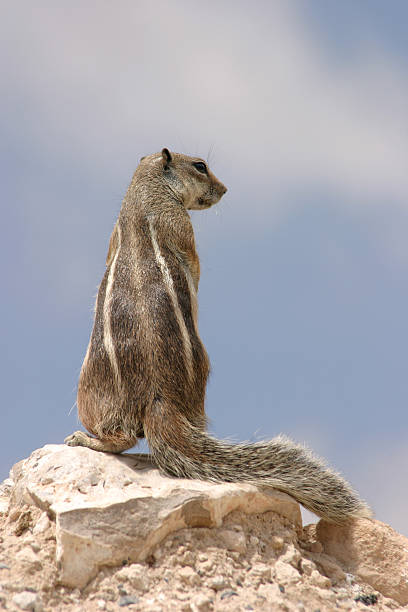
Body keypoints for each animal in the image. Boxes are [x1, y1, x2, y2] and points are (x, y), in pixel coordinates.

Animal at [65, 147, 372, 520]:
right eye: (201, 166)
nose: (225, 189)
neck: (143, 198)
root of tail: (158, 397)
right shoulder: (181, 226)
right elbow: (193, 263)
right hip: (96, 392)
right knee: (122, 439)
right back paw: (84, 439)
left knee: (123, 438)